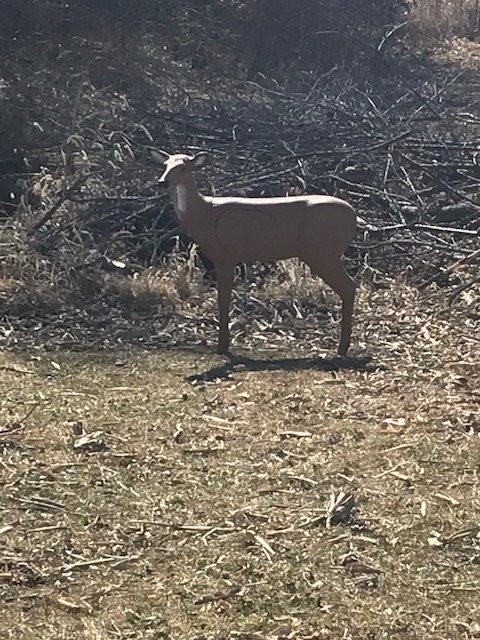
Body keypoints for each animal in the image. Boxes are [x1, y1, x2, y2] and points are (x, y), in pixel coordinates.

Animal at [150, 149, 358, 357]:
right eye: (165, 165)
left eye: (183, 167)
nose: (162, 182)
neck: (204, 214)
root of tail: (354, 216)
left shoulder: (225, 254)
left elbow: (223, 297)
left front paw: (222, 347)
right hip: (326, 253)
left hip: (323, 251)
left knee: (348, 287)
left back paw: (341, 349)